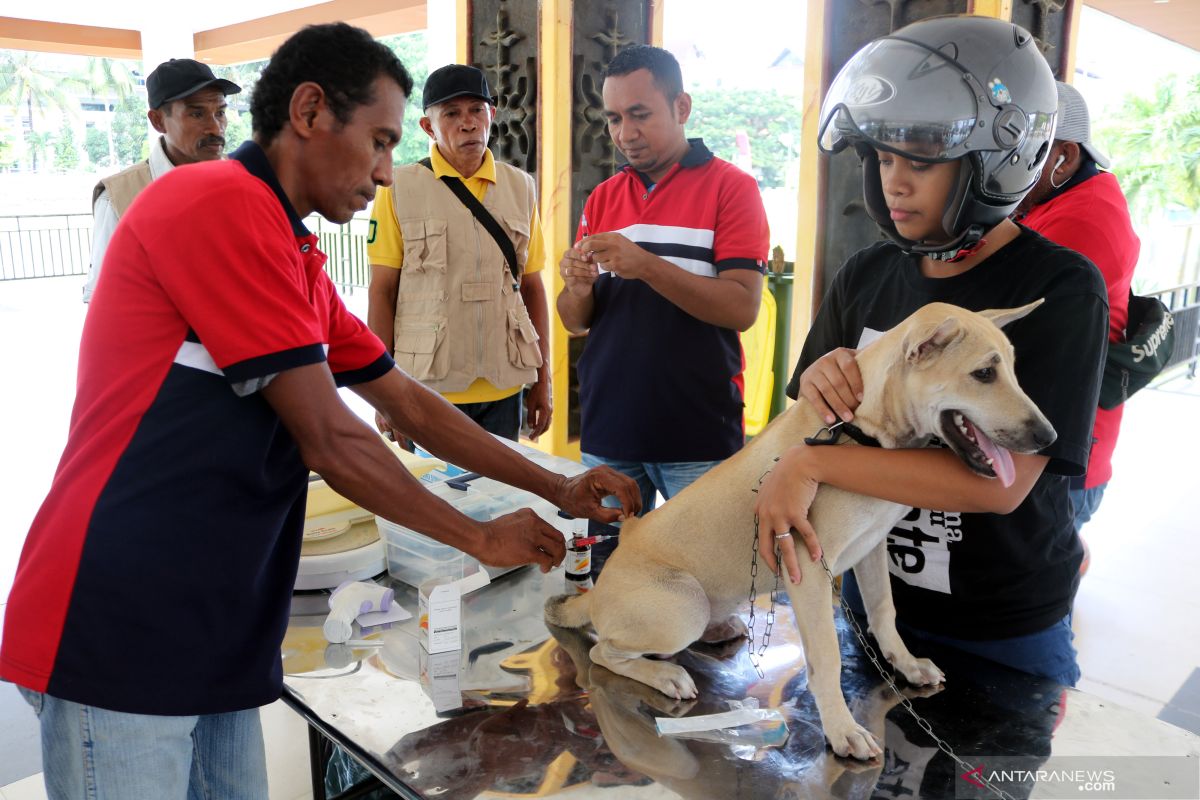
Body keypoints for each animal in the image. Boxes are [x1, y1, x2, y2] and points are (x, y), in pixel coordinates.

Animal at [549, 297, 1056, 762]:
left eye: (1012, 370)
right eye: (984, 374)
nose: (1049, 439)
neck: (861, 432)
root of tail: (598, 591)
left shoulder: (872, 549)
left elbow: (883, 611)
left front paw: (906, 664)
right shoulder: (809, 567)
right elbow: (828, 655)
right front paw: (842, 729)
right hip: (683, 606)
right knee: (602, 653)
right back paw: (664, 675)